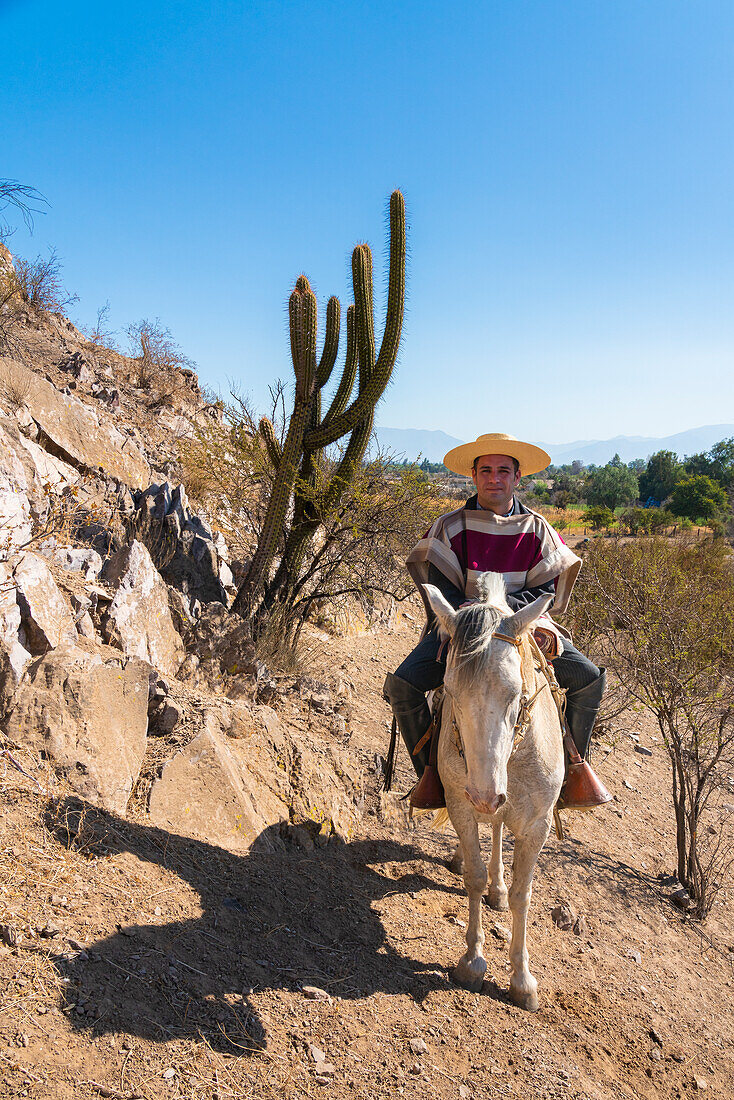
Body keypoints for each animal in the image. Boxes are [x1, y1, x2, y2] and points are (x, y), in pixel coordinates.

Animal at [424, 572, 563, 1007]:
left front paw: (522, 979)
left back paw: (499, 888)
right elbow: (473, 877)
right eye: (449, 689)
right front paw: (472, 962)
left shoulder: (537, 826)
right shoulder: (461, 806)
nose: (485, 795)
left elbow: (523, 894)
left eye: (515, 692)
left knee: (501, 827)